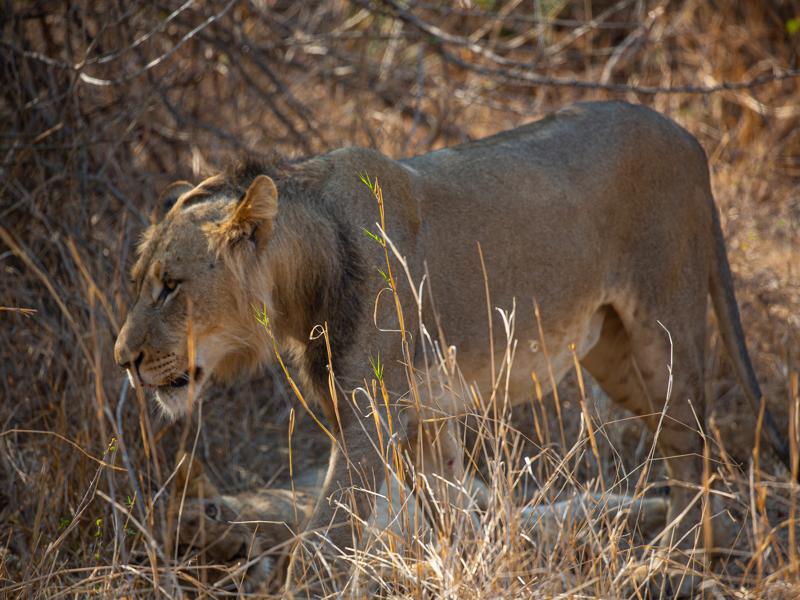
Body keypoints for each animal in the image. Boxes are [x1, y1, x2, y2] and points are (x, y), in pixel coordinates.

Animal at [115, 100, 790, 594]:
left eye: (171, 285)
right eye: (141, 280)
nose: (125, 361)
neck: (301, 286)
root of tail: (687, 136)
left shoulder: (370, 423)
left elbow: (323, 541)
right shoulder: (421, 420)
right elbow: (451, 516)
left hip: (664, 330)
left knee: (696, 448)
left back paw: (683, 564)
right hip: (616, 355)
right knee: (686, 448)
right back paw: (698, 552)